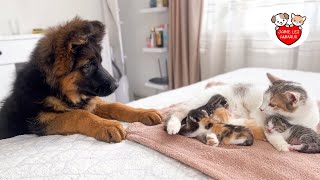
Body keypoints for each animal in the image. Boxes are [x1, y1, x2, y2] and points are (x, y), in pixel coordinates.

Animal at [0, 17, 161, 143]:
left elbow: (116, 105)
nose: (116, 85)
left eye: (101, 62)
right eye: (88, 65)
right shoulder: (41, 120)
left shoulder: (90, 102)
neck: (54, 89)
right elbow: (77, 114)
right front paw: (107, 125)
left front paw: (143, 112)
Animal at [166, 73, 318, 152]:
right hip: (198, 102)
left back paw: (211, 138)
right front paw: (282, 145)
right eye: (263, 99)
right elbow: (271, 132)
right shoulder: (262, 119)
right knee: (177, 112)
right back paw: (173, 126)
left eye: (272, 104)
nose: (261, 108)